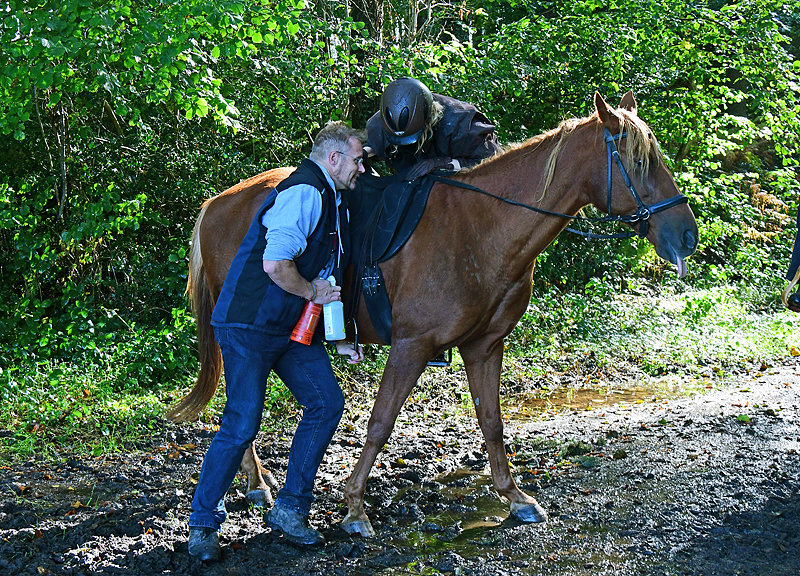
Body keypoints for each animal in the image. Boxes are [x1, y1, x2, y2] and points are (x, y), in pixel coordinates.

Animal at [169, 92, 692, 536]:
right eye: (638, 162)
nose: (686, 236)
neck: (483, 228)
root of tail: (218, 202)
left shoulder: (484, 346)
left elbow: (492, 422)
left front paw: (514, 497)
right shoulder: (411, 346)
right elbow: (380, 423)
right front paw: (355, 508)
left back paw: (256, 484)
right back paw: (256, 484)